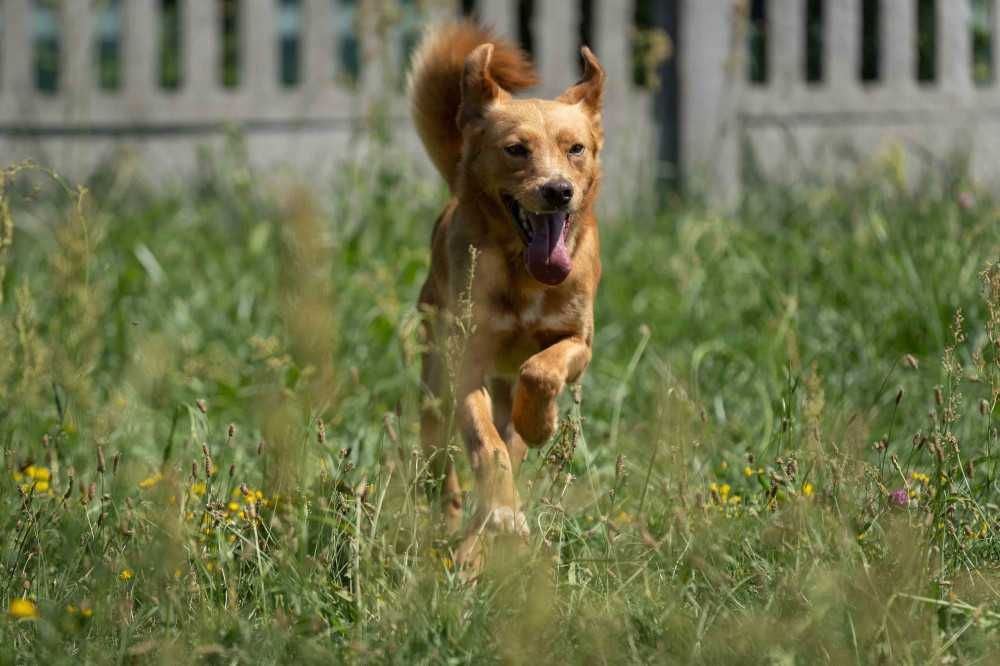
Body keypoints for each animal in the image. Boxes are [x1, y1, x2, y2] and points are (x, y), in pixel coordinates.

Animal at [410, 23, 604, 568]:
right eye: (517, 149)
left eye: (575, 148)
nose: (558, 191)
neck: (525, 274)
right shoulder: (466, 358)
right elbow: (486, 445)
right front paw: (499, 506)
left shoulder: (578, 342)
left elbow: (540, 373)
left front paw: (540, 423)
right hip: (434, 385)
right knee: (445, 460)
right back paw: (462, 523)